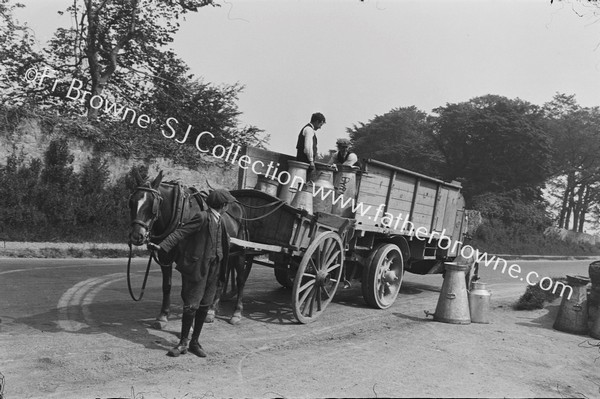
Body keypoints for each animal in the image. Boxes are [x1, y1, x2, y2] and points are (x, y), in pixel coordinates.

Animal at [128, 170, 253, 326]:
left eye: (153, 204)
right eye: (131, 202)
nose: (136, 236)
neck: (179, 211)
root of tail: (237, 204)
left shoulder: (188, 258)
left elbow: (187, 291)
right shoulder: (165, 256)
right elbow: (167, 285)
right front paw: (163, 315)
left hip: (240, 253)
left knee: (240, 280)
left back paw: (237, 312)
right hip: (226, 253)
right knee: (220, 280)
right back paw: (211, 310)